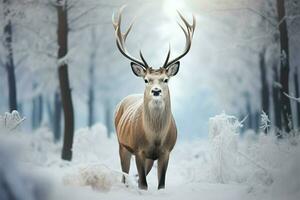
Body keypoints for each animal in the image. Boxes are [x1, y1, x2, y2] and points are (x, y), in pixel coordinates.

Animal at [112, 7, 195, 190]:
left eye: (165, 79)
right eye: (146, 79)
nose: (156, 91)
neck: (155, 138)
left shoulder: (166, 152)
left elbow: (160, 185)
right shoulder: (138, 150)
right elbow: (143, 184)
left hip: (149, 158)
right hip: (122, 144)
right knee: (124, 175)